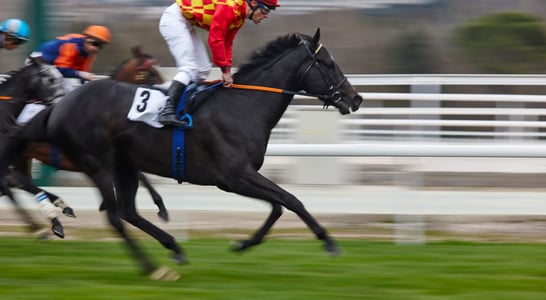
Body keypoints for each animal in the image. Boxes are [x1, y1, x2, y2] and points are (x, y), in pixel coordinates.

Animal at [4, 29, 364, 280]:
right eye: (327, 63)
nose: (355, 98)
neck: (242, 105)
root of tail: (58, 106)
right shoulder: (235, 176)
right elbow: (292, 200)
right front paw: (329, 242)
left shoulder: (237, 178)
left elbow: (277, 206)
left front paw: (243, 244)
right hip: (99, 163)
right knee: (114, 216)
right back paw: (151, 267)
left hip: (124, 164)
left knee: (127, 211)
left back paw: (173, 248)